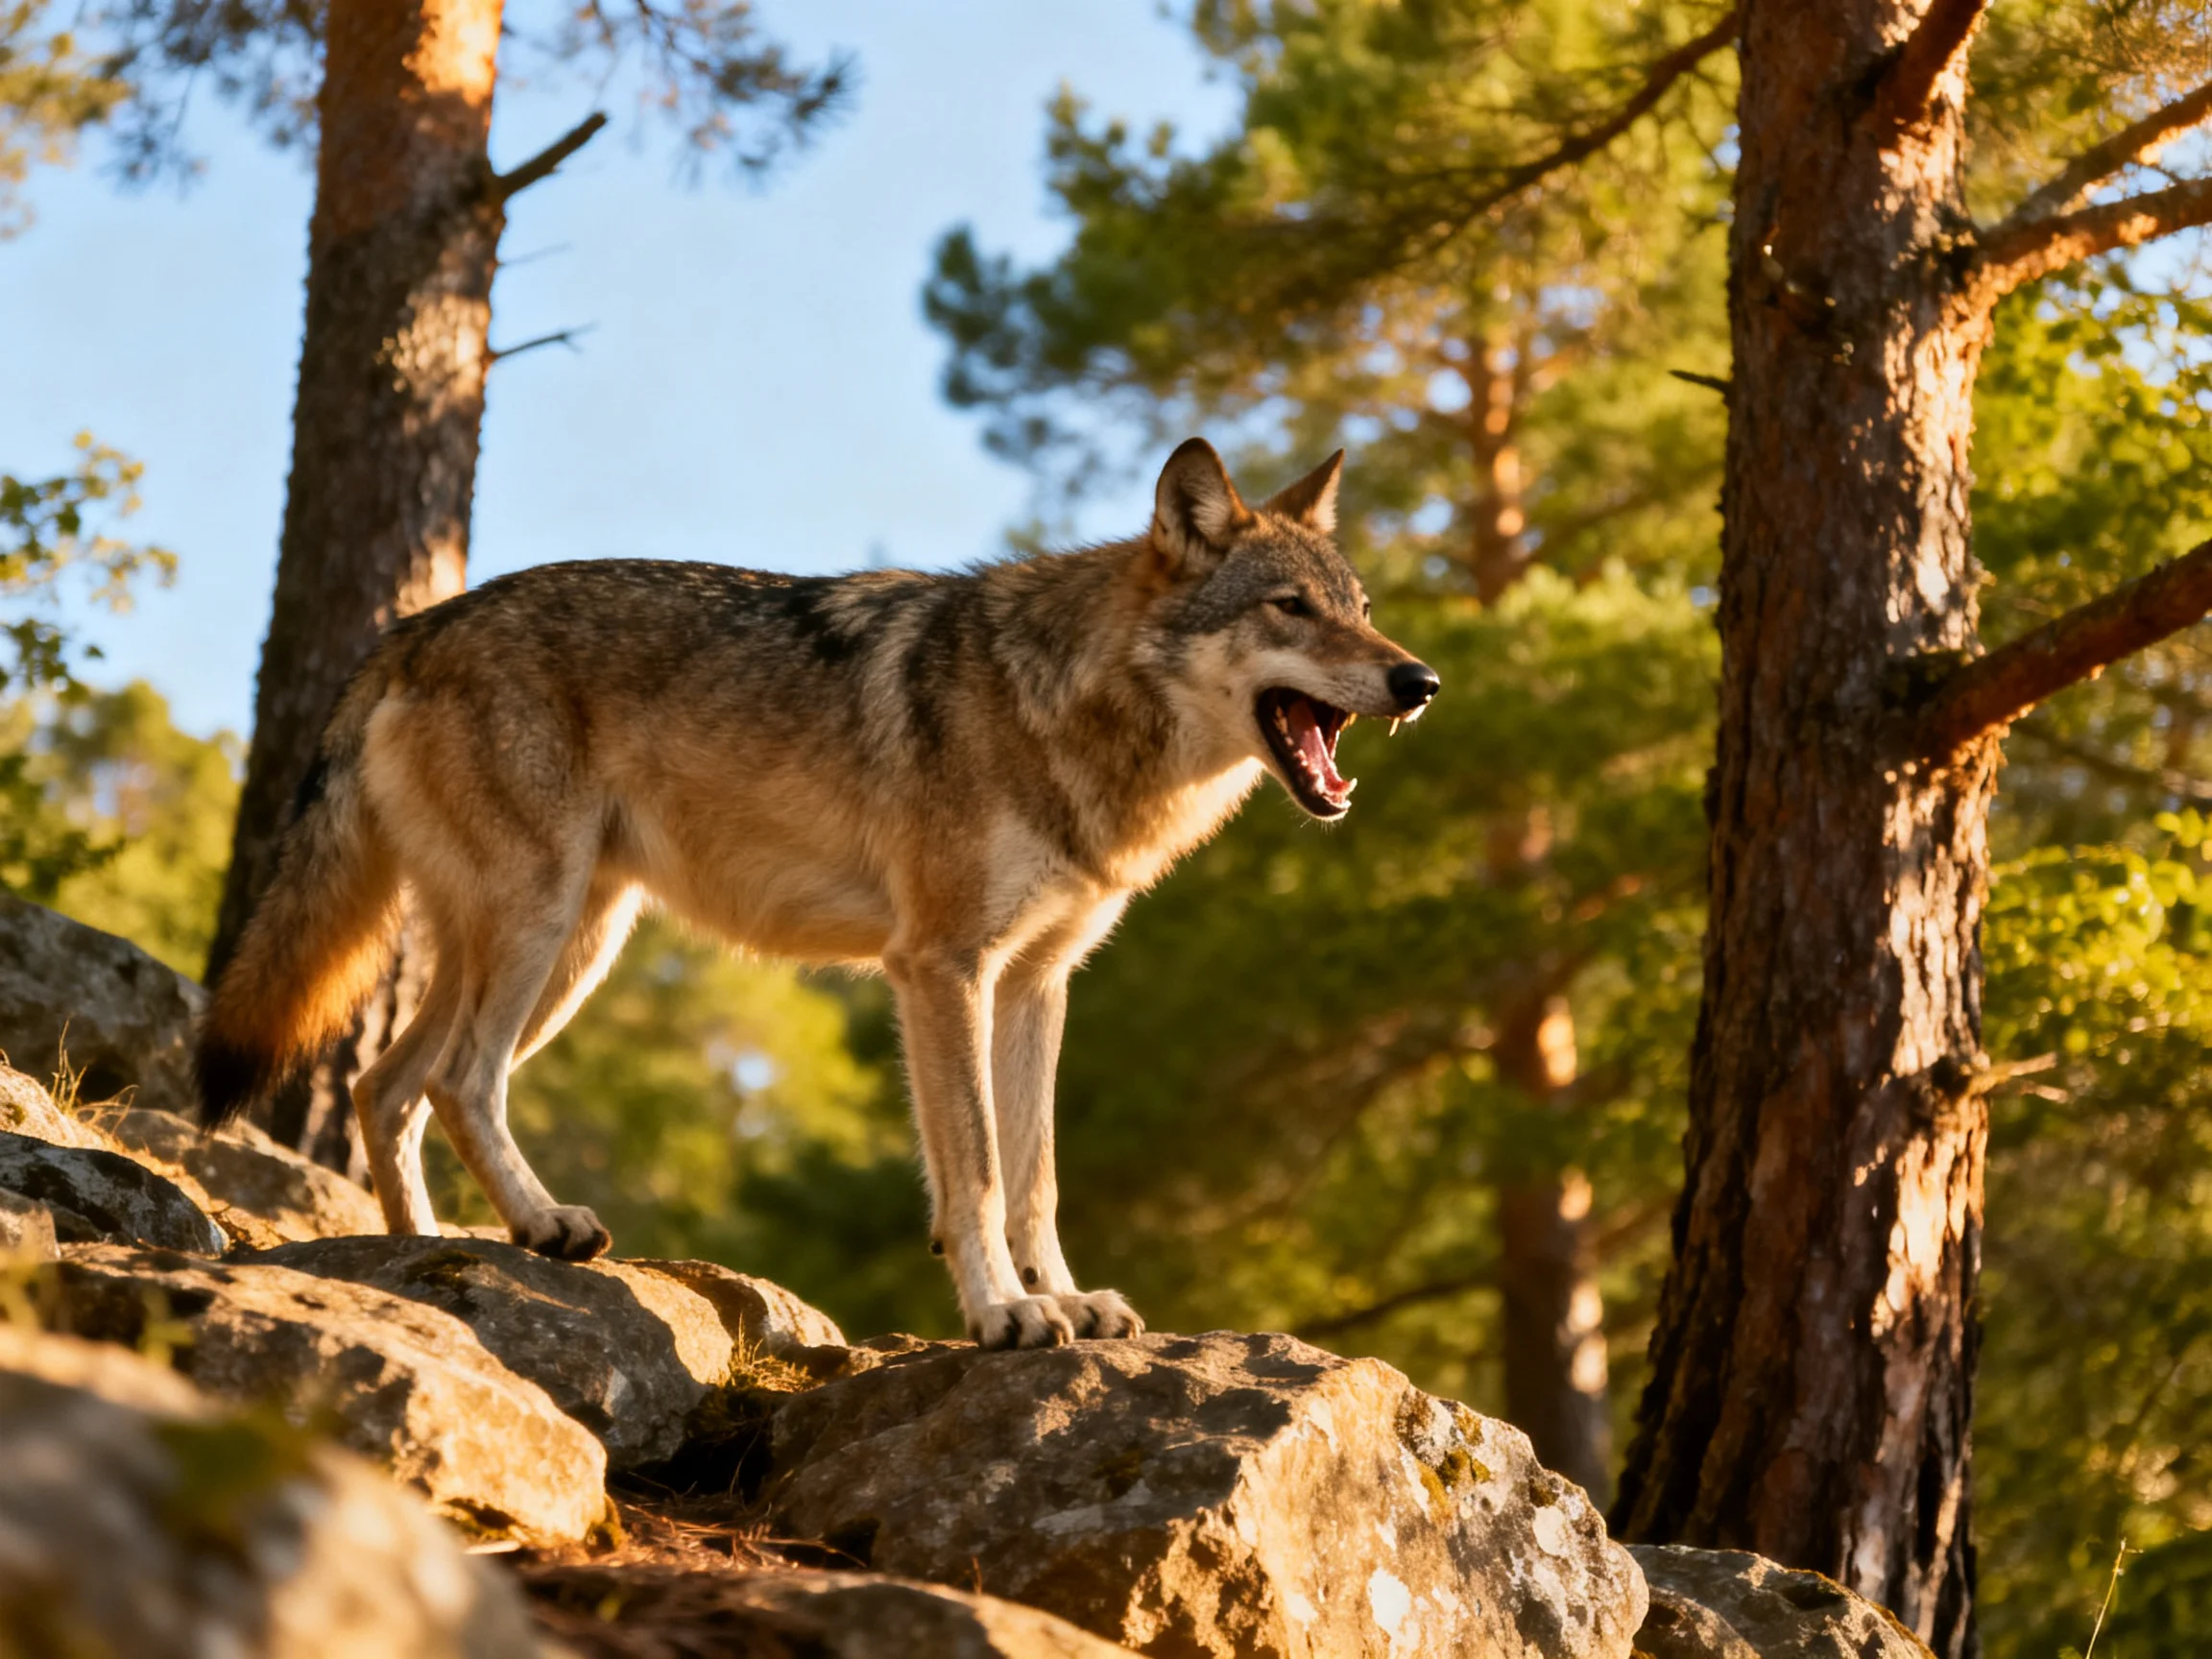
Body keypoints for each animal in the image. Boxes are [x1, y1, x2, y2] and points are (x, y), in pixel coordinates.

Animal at [196, 439, 1439, 1348]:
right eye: (1289, 608)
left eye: (1363, 604)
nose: (1420, 680)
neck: (1066, 708)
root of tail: (411, 627)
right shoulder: (940, 968)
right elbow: (977, 1172)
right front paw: (1004, 1313)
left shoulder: (1038, 983)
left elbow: (1035, 1177)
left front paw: (1064, 1298)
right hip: (545, 931)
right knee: (458, 1081)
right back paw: (542, 1226)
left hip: (565, 947)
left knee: (386, 1086)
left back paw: (426, 1256)